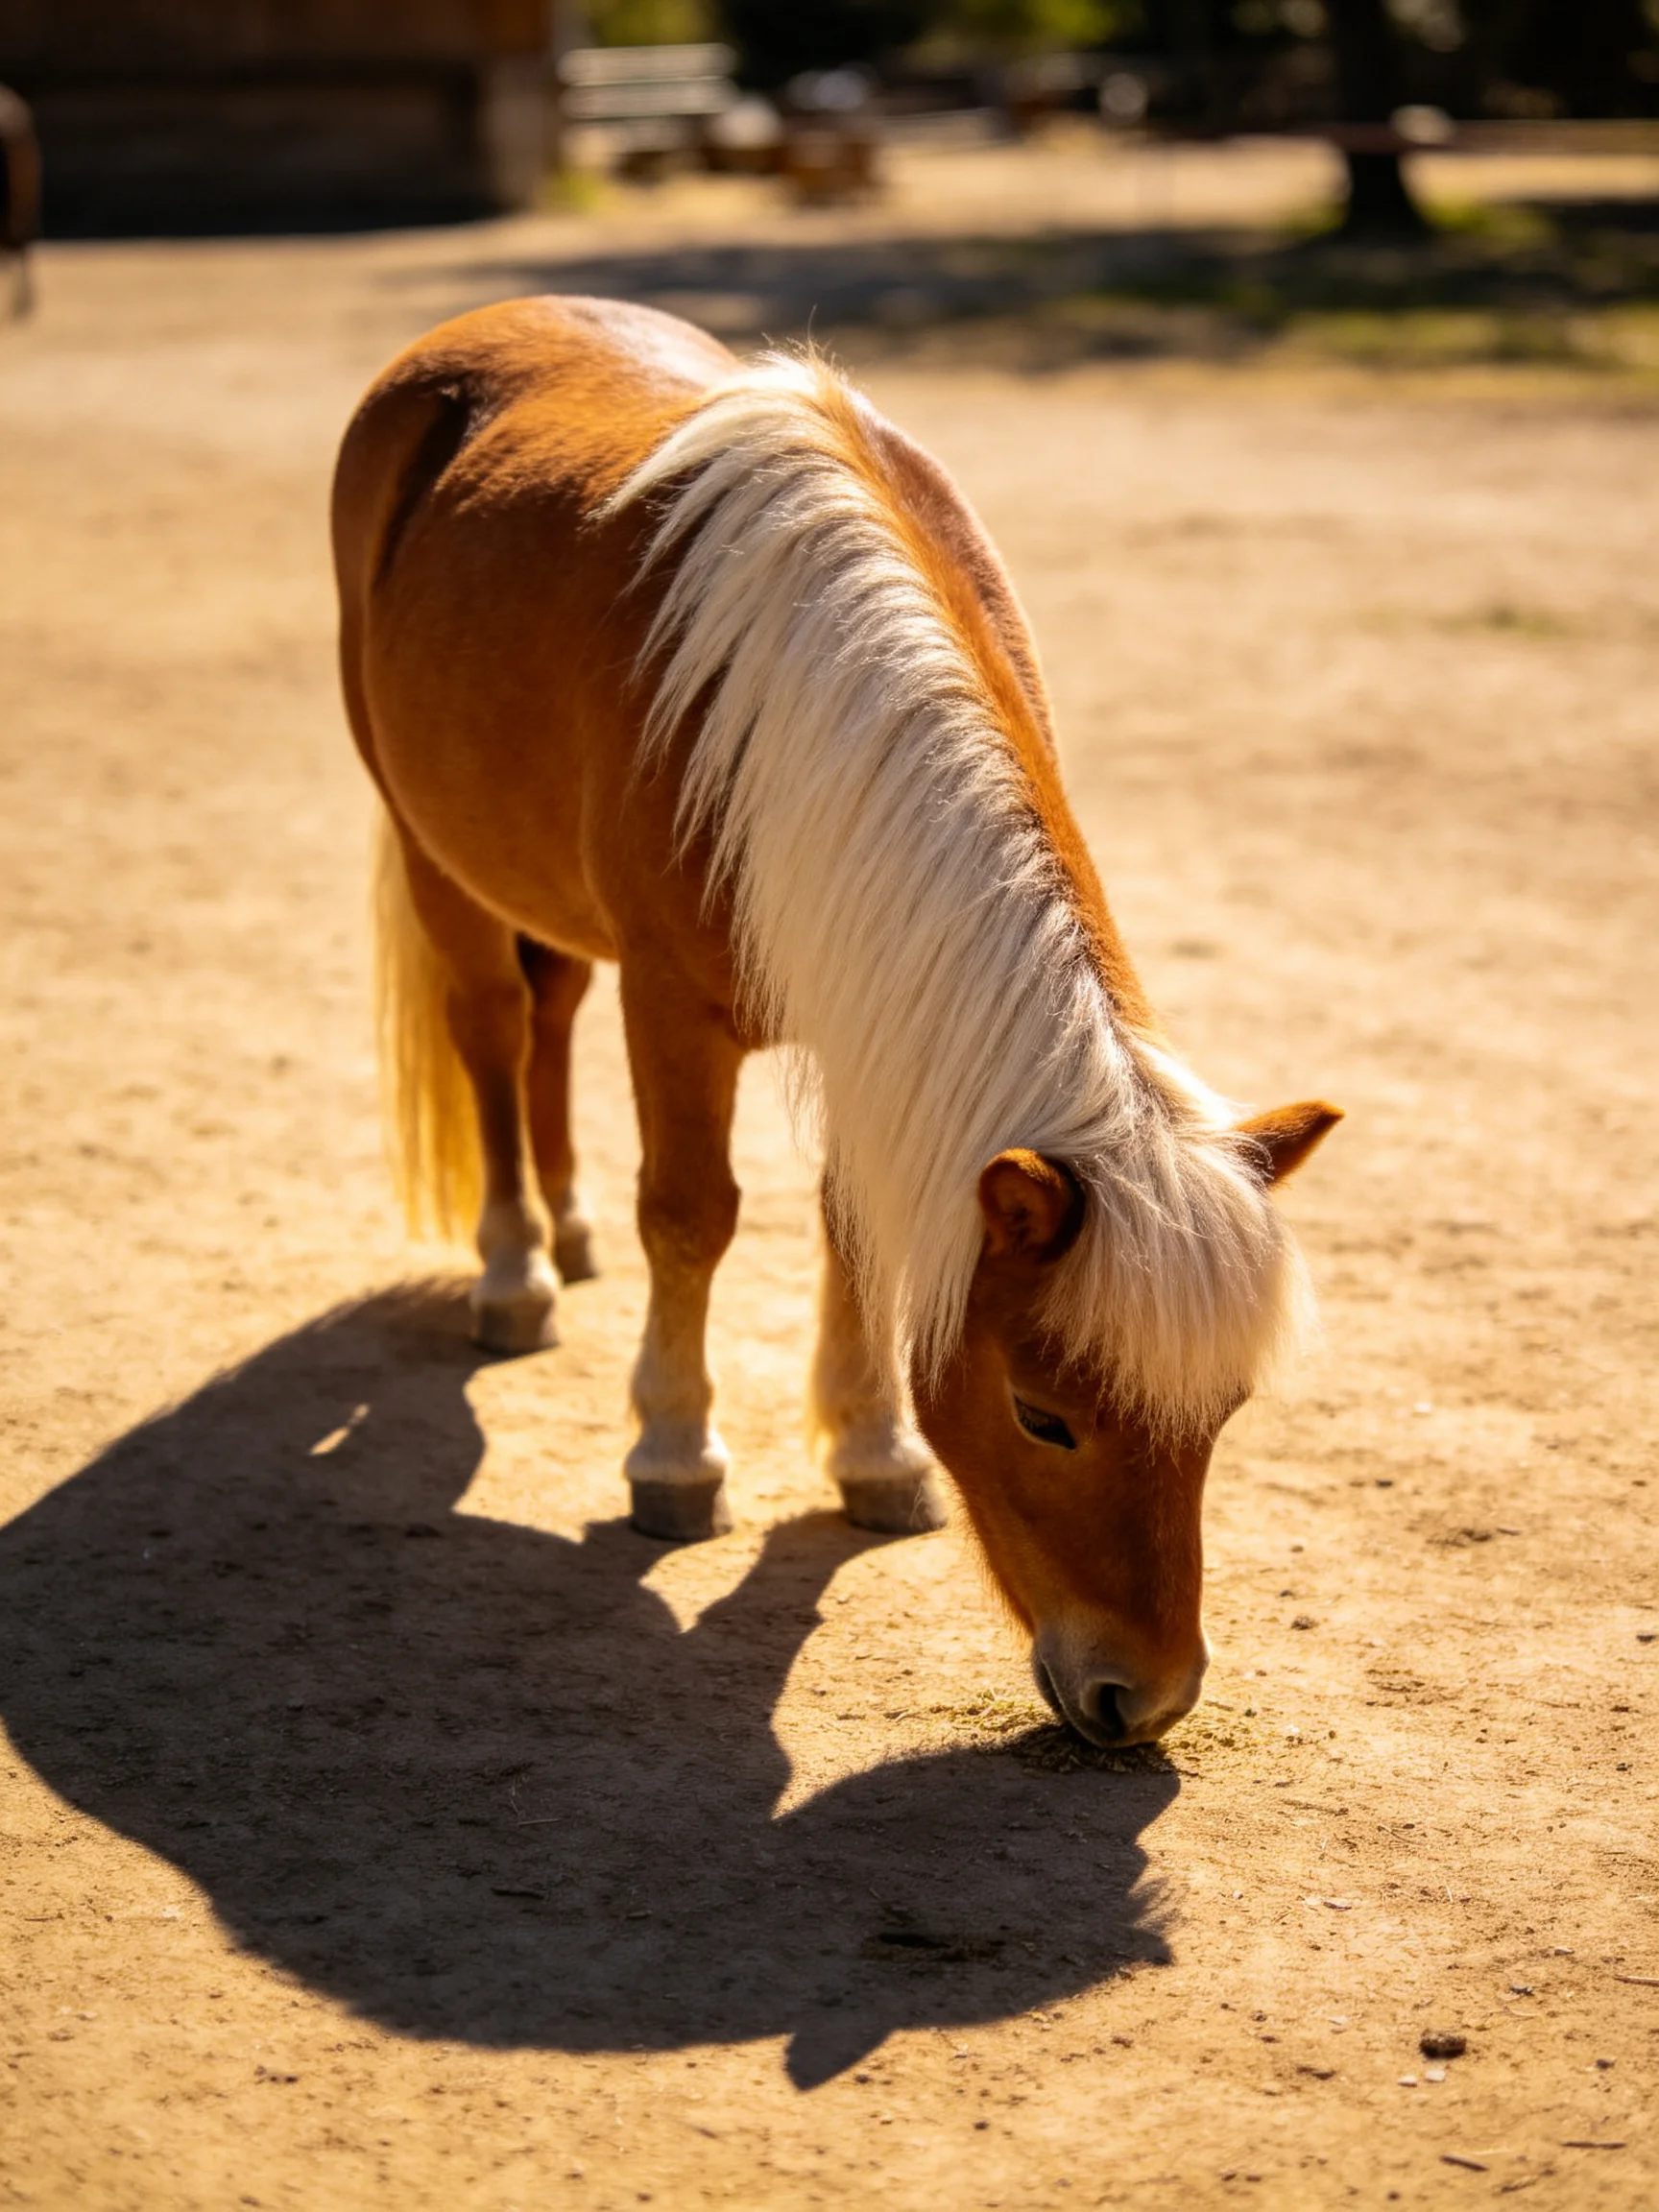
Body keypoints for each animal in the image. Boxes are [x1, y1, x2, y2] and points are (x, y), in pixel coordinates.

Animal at [331, 296, 1339, 1749]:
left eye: (1226, 1412)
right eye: (1043, 1418)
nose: (1143, 1699)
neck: (804, 700)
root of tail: (483, 323)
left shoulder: (862, 1019)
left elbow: (854, 1228)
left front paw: (871, 1451)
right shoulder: (675, 1005)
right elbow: (690, 1217)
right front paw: (674, 1456)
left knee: (547, 1016)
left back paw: (567, 1232)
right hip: (438, 857)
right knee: (492, 1031)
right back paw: (517, 1270)